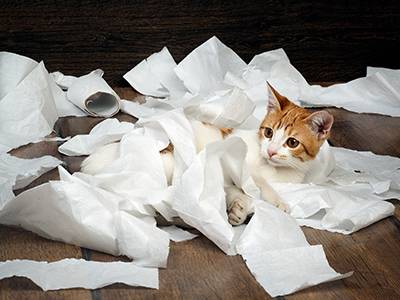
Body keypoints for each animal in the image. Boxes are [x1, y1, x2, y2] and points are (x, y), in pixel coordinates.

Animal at [79, 84, 332, 225]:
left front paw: (239, 210)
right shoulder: (228, 158)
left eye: (292, 142)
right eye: (268, 132)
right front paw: (276, 201)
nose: (270, 151)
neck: (274, 171)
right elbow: (255, 183)